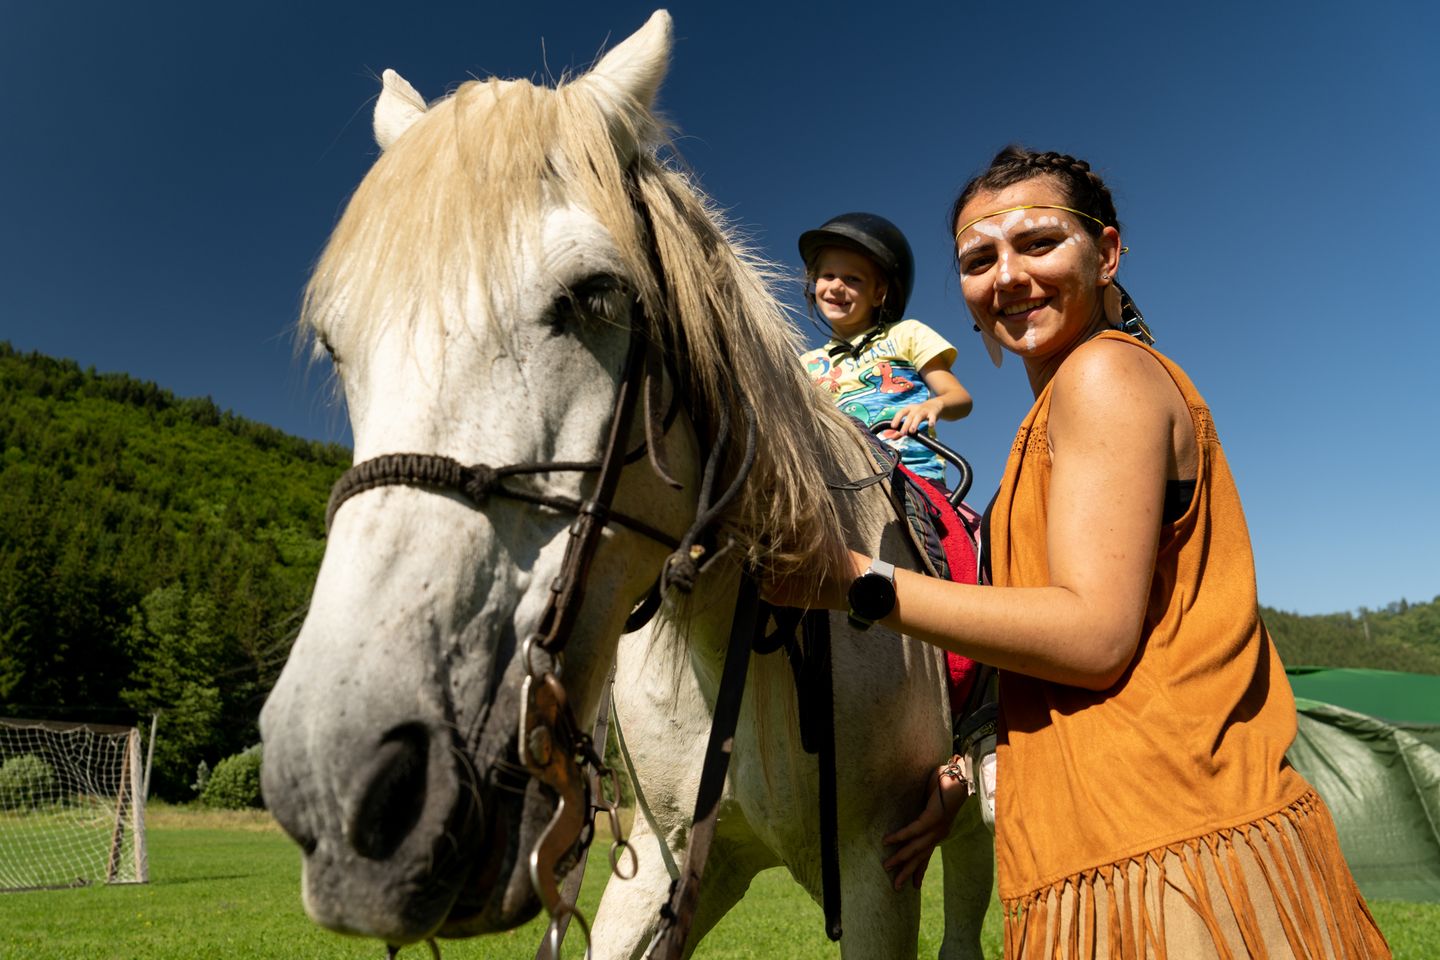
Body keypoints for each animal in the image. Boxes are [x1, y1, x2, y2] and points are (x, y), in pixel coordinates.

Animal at [262, 9, 990, 960]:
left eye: (597, 294)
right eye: (335, 342)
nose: (340, 788)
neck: (754, 635)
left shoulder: (879, 876)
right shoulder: (666, 863)